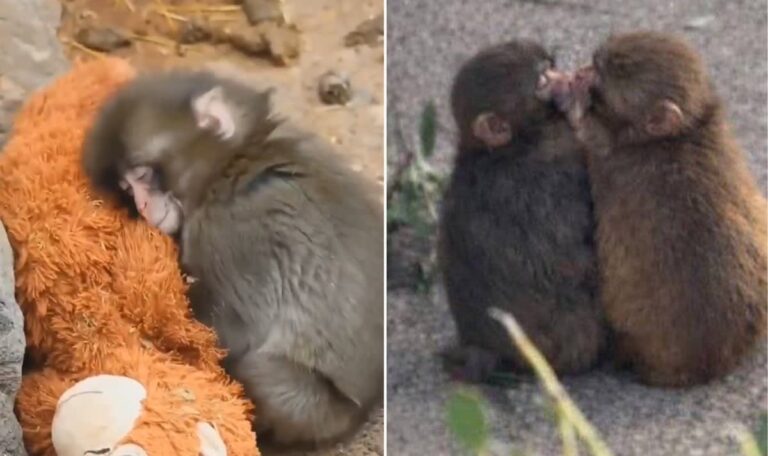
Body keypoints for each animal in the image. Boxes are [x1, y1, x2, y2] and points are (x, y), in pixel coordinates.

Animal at [81, 70, 384, 447]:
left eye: (143, 174)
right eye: (126, 187)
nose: (143, 205)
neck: (232, 163)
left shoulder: (228, 232)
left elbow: (231, 331)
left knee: (259, 370)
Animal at [559, 31, 767, 387]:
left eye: (604, 74)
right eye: (597, 64)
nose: (584, 70)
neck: (680, 135)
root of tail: (709, 364)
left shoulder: (610, 164)